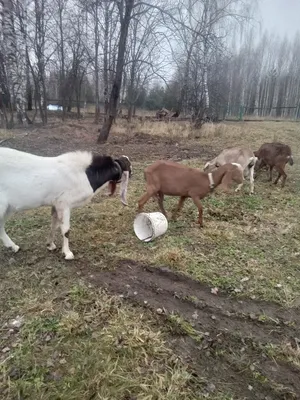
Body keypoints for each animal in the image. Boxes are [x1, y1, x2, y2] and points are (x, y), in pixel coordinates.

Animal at [0, 148, 131, 260]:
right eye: (128, 165)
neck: (84, 174)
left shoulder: (56, 204)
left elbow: (54, 224)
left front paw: (50, 245)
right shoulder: (64, 203)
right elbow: (66, 230)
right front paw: (67, 253)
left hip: (8, 208)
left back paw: (13, 246)